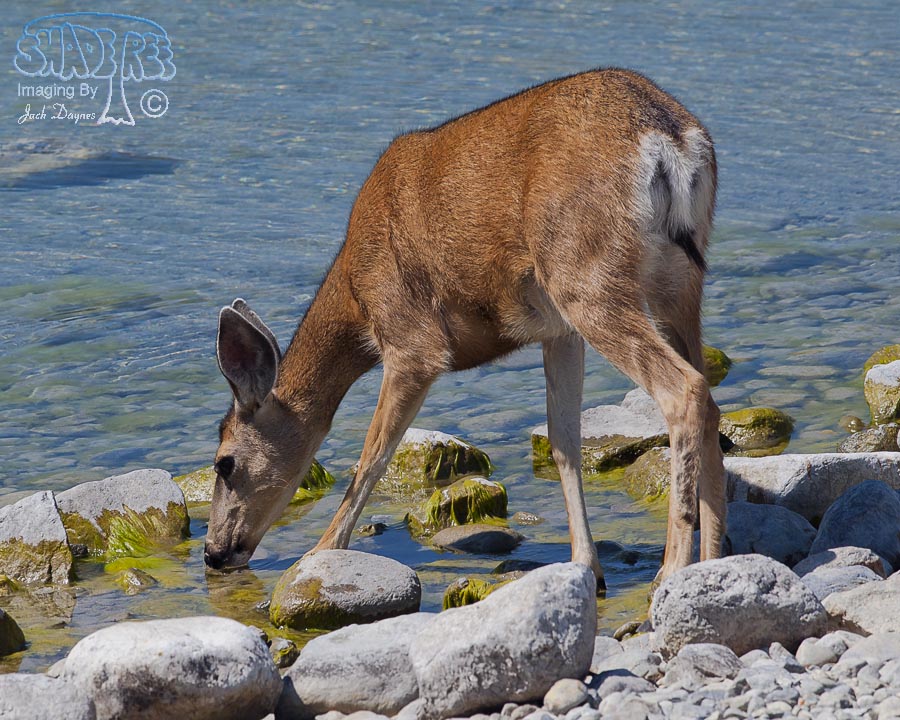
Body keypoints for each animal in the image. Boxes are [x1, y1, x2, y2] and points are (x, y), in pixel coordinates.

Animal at [205, 68, 726, 590]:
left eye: (224, 462)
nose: (213, 552)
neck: (356, 297)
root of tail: (672, 142)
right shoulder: (558, 332)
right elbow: (563, 443)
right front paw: (586, 566)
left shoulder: (412, 341)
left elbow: (373, 456)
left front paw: (319, 551)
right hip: (676, 282)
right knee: (709, 399)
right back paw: (713, 560)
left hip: (586, 275)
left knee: (683, 388)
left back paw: (672, 570)